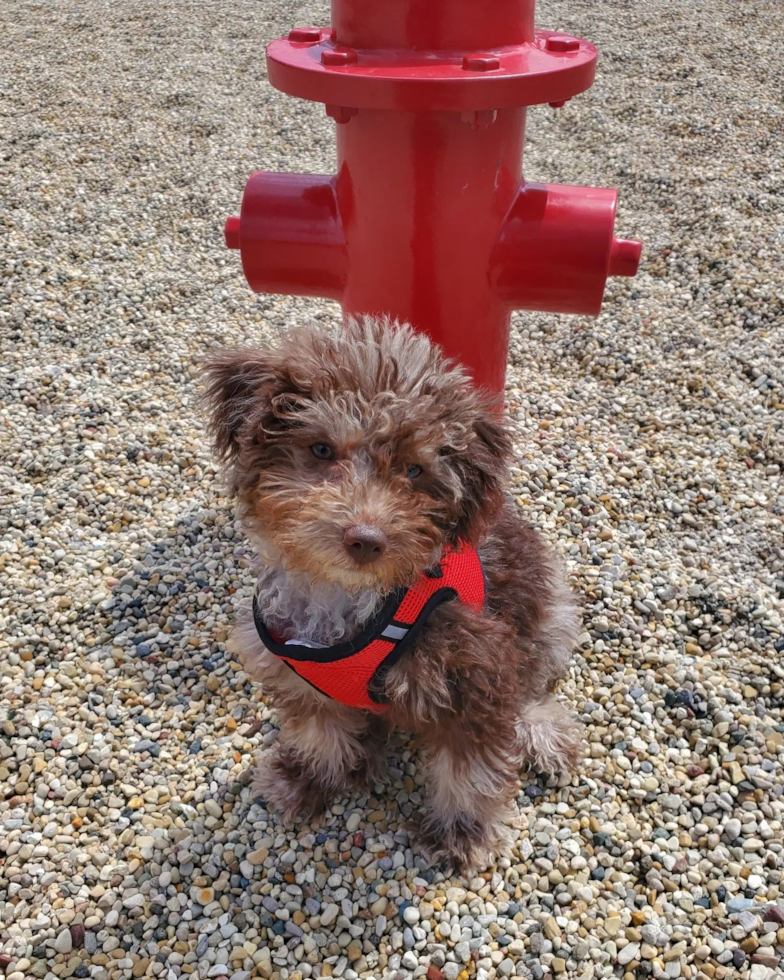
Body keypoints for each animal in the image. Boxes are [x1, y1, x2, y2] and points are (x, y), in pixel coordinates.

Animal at [204, 316, 580, 872]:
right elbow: (319, 734)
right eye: (321, 449)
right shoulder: (298, 677)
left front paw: (460, 833)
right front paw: (308, 779)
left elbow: (470, 770)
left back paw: (541, 732)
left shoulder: (476, 670)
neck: (350, 597)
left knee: (532, 681)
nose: (365, 538)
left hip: (548, 612)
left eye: (414, 470)